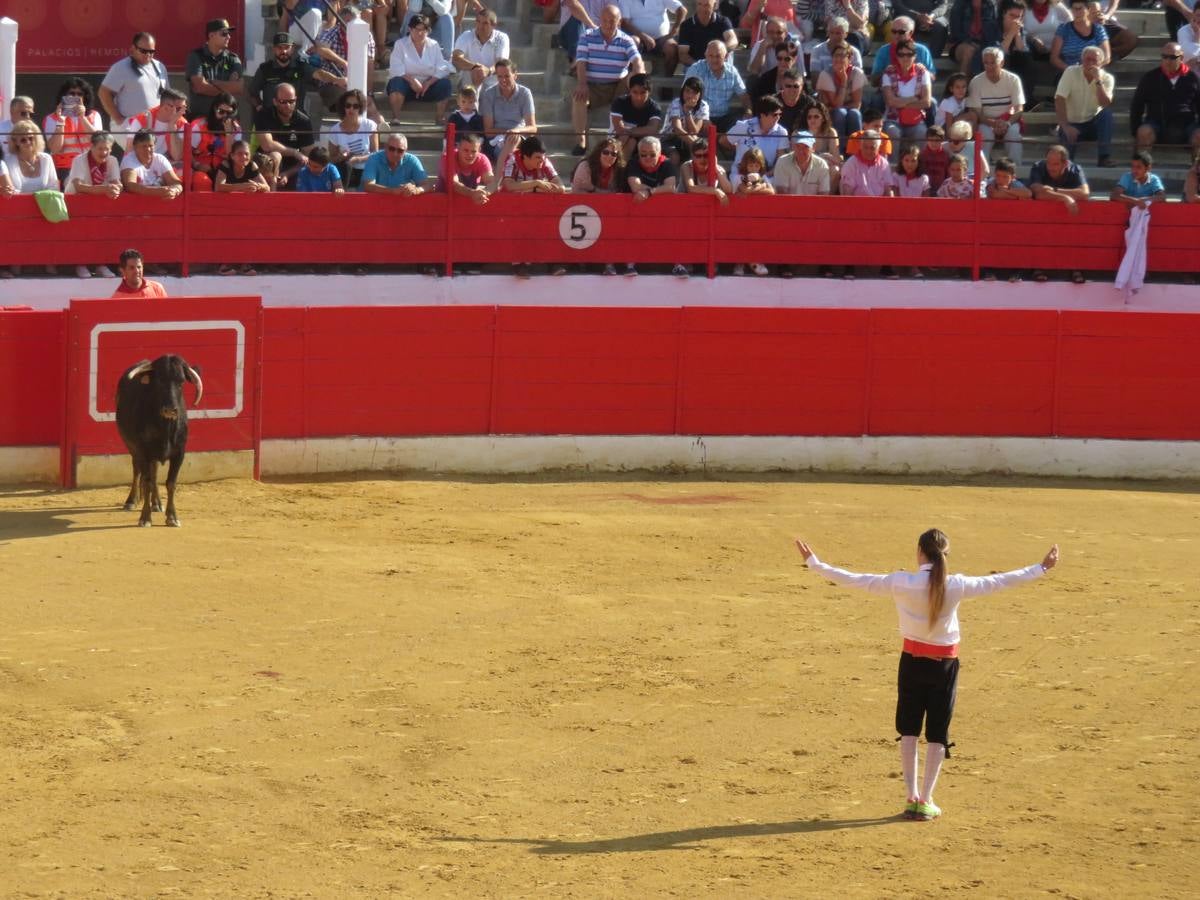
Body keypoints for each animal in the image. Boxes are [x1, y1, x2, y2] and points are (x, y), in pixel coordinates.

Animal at [114, 355, 204, 528]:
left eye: (181, 381)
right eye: (160, 381)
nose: (170, 409)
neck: (165, 428)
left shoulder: (179, 454)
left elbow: (170, 483)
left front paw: (172, 517)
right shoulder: (143, 451)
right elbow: (147, 481)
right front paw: (145, 518)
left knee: (154, 473)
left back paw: (156, 503)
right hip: (132, 447)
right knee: (137, 471)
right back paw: (131, 501)